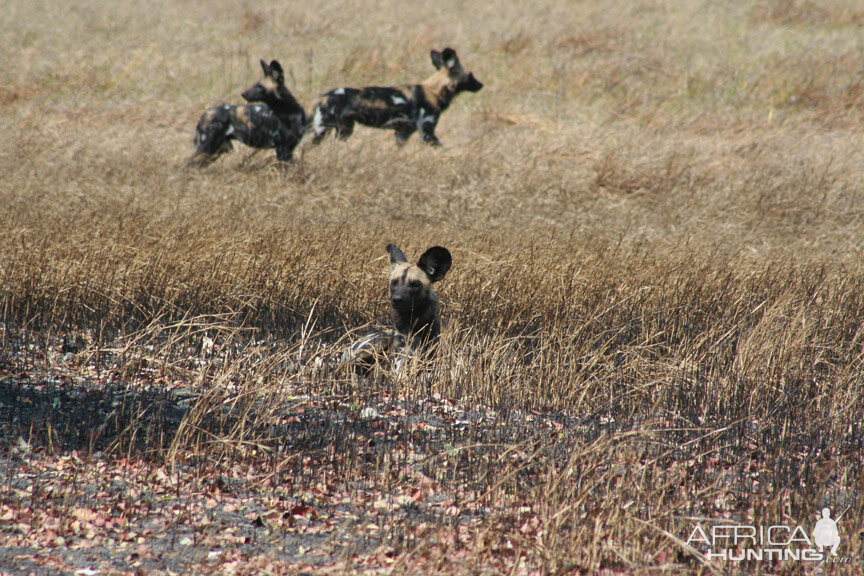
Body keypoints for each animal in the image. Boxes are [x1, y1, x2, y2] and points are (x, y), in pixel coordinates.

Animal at [308, 48, 482, 147]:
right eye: (471, 75)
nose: (481, 85)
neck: (434, 91)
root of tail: (321, 98)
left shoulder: (402, 133)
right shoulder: (427, 133)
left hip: (344, 130)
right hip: (322, 130)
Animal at [342, 244, 456, 374]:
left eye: (416, 284)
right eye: (393, 282)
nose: (396, 299)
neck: (411, 321)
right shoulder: (400, 361)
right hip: (379, 341)